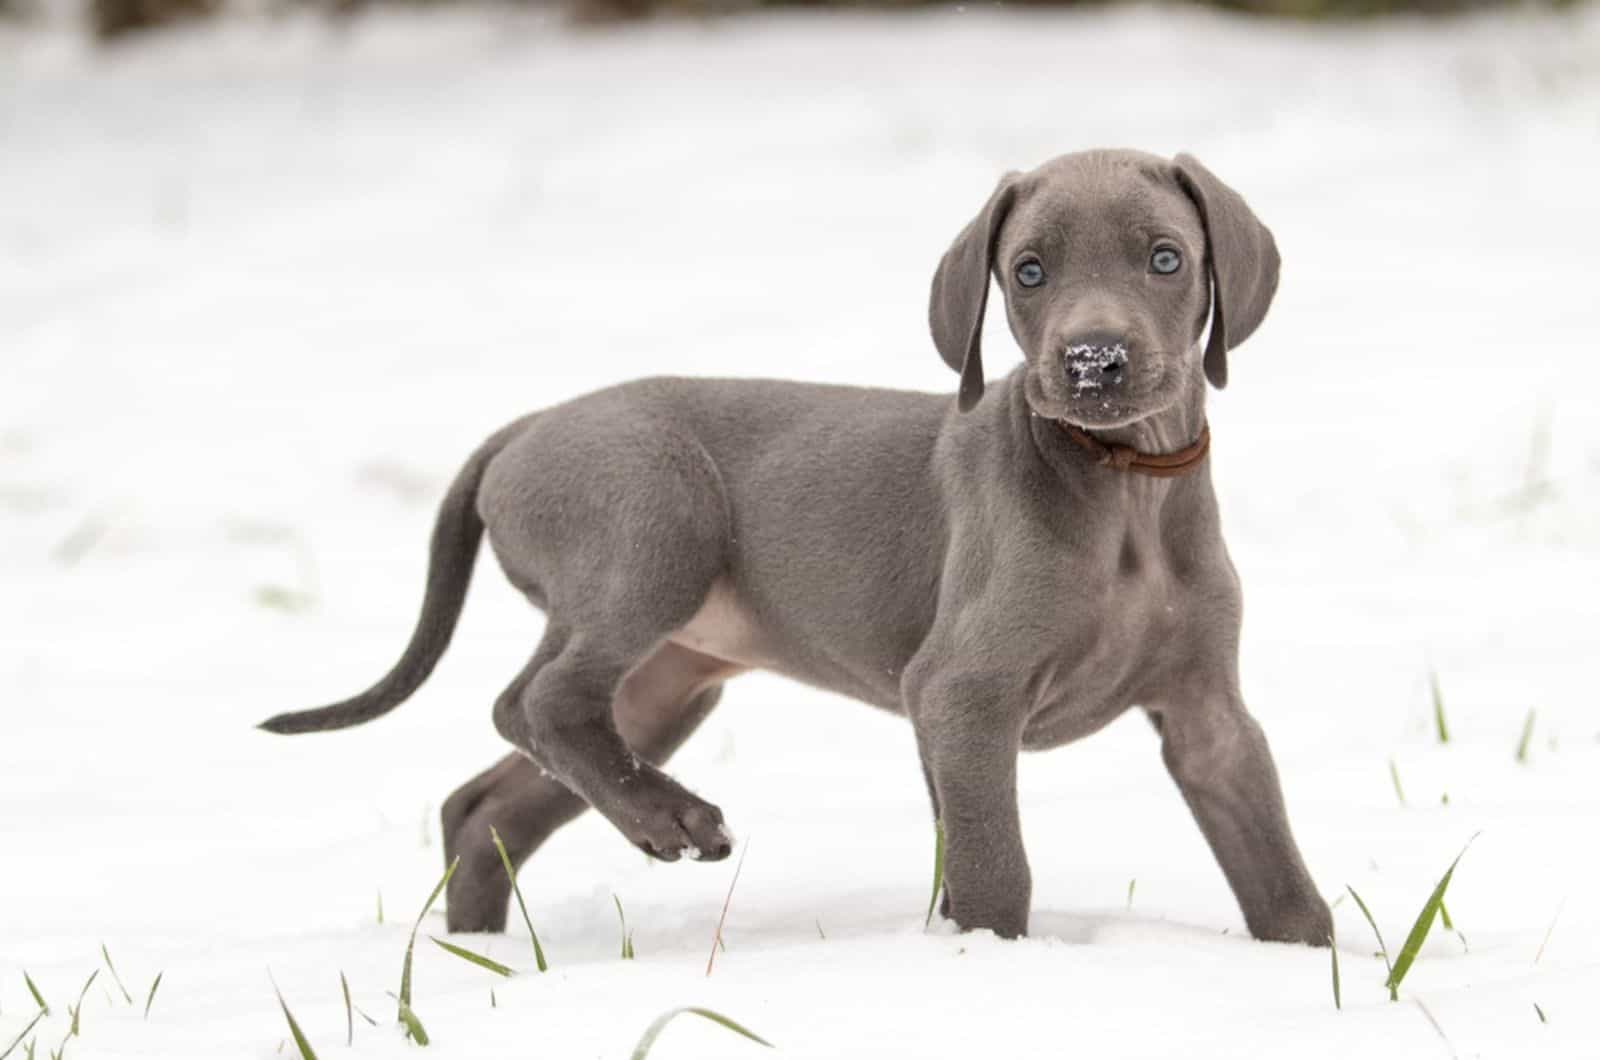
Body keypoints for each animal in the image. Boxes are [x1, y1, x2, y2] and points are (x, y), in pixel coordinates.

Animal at [262, 147, 1331, 947]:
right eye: (1028, 271)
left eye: (1166, 259)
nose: (1094, 361)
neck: (1127, 487)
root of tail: (524, 427)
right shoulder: (961, 694)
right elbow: (996, 870)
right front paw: (993, 962)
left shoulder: (1207, 717)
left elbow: (1280, 875)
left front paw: (1314, 968)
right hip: (656, 520)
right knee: (538, 700)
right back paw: (673, 822)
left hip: (664, 683)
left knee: (490, 794)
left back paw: (480, 950)